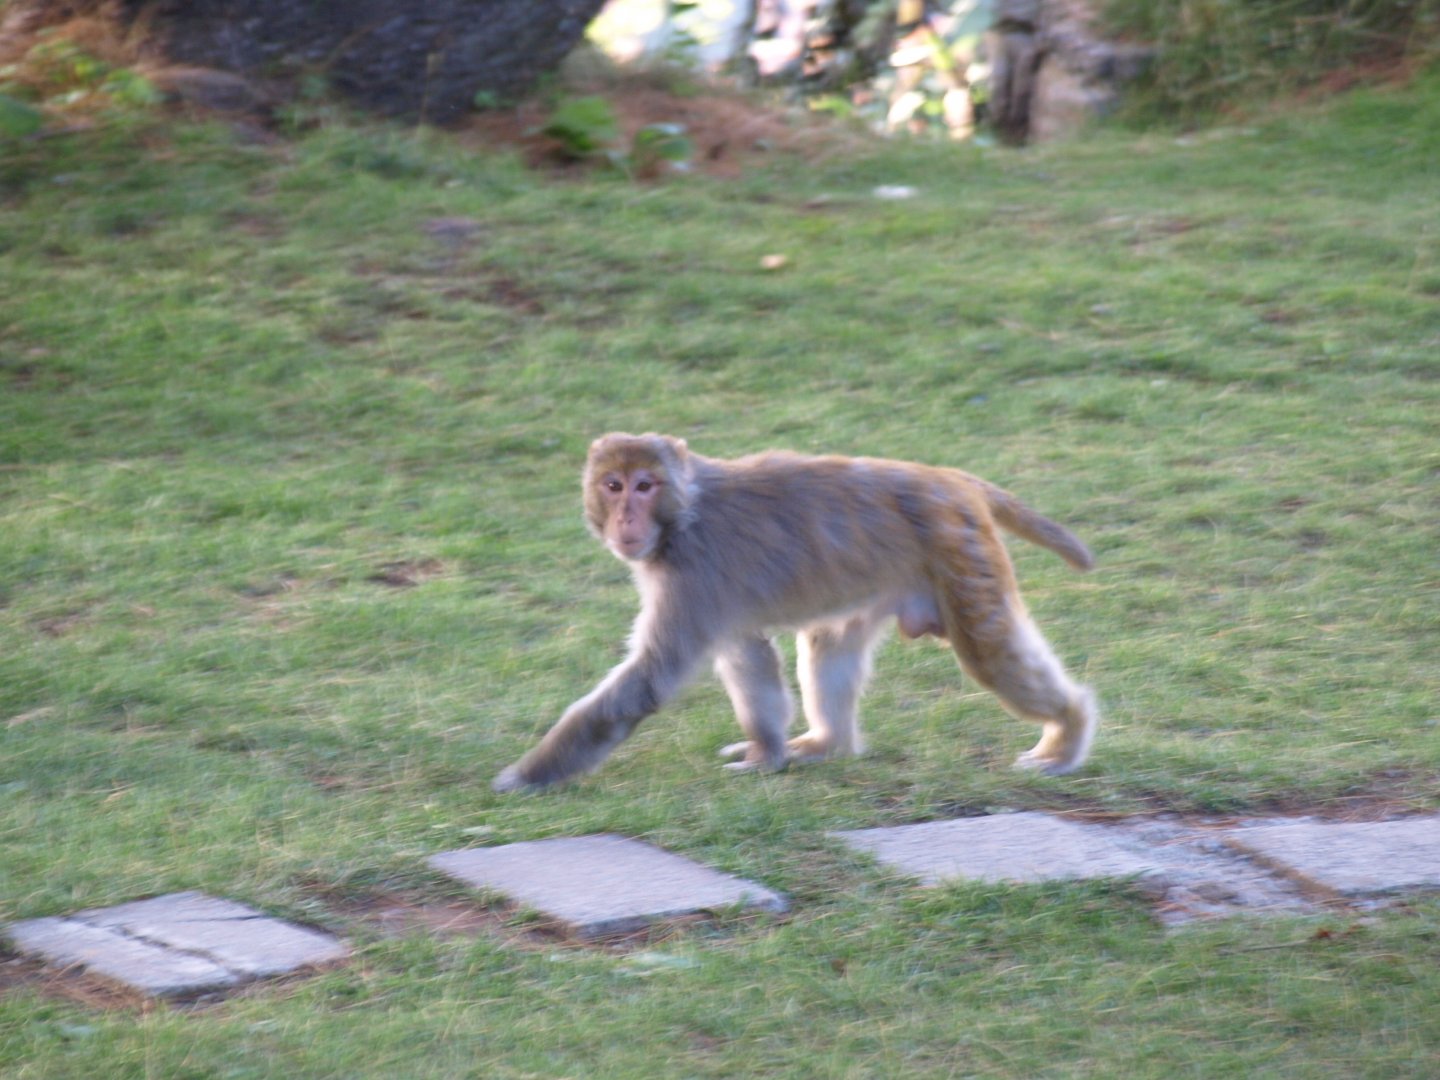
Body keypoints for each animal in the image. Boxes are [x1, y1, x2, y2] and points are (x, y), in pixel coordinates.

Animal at [491, 432, 1098, 793]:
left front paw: (528, 774)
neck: (684, 515)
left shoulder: (695, 576)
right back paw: (826, 745)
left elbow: (647, 680)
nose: (625, 521)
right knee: (829, 644)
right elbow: (748, 656)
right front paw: (767, 751)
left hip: (960, 554)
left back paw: (1066, 735)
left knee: (989, 653)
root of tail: (950, 479)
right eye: (612, 485)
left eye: (645, 485)